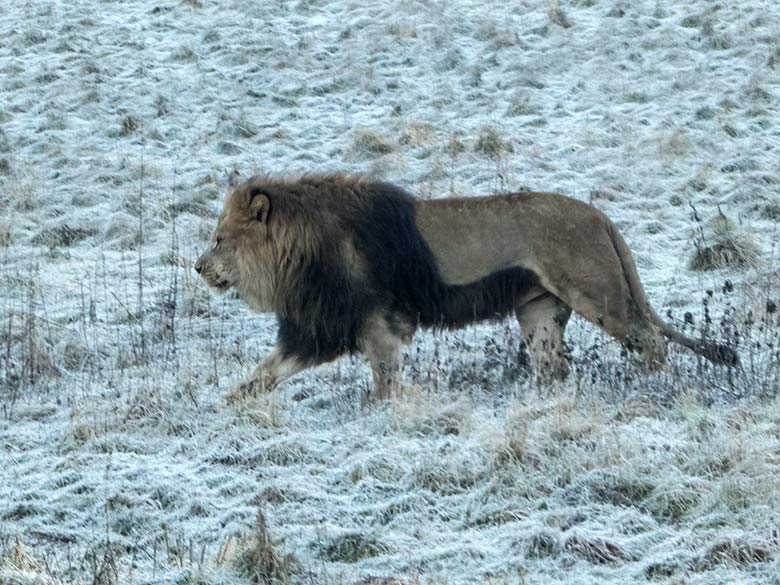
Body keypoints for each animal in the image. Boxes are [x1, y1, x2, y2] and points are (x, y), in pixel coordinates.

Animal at [193, 173, 736, 400]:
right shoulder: (316, 327)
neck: (296, 251)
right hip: (538, 310)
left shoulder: (375, 319)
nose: (198, 268)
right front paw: (232, 401)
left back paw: (651, 383)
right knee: (554, 366)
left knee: (650, 340)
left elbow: (384, 376)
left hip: (598, 296)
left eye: (219, 239)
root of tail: (599, 216)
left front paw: (382, 409)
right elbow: (266, 370)